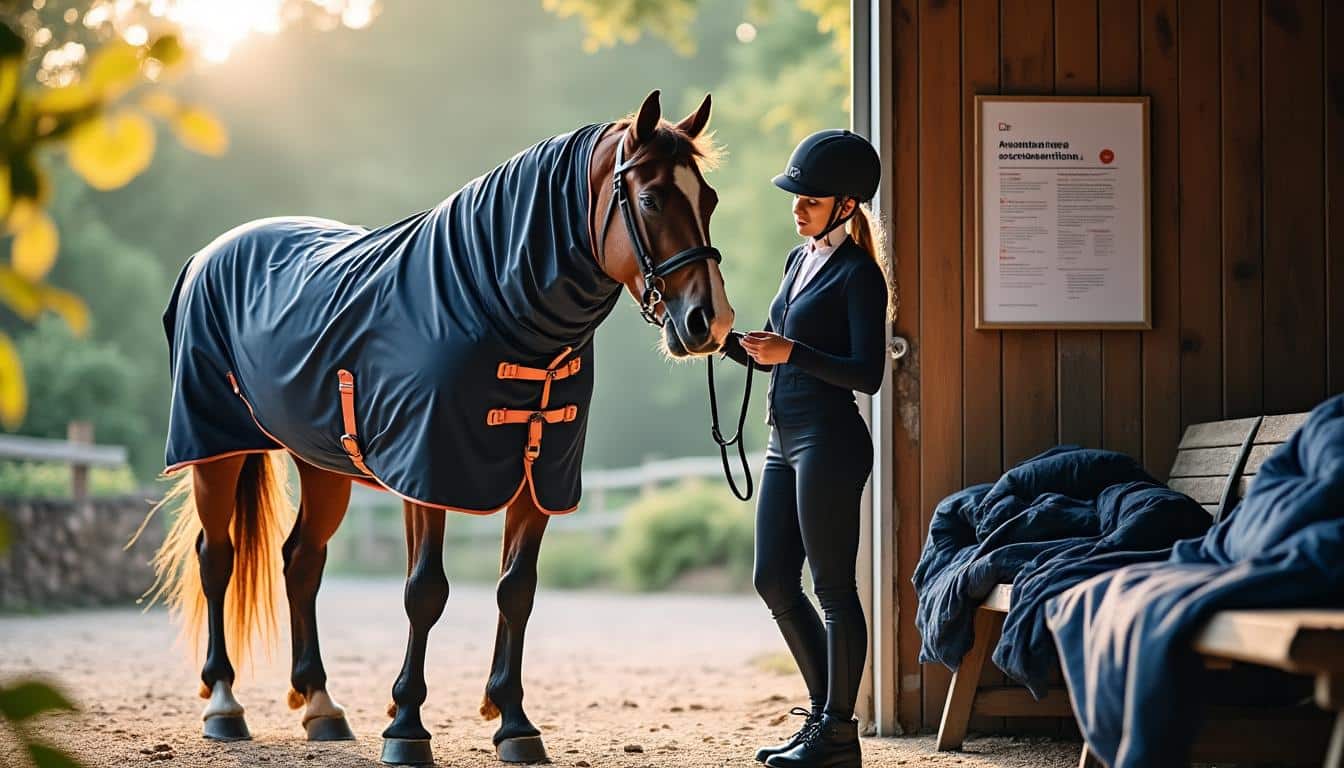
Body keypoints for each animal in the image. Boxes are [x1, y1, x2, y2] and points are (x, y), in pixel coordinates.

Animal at [139, 90, 734, 765]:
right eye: (652, 198)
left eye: (708, 199)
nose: (709, 322)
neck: (490, 305)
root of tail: (210, 253)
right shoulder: (429, 476)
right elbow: (425, 592)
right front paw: (406, 726)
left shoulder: (537, 481)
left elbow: (516, 592)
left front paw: (514, 722)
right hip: (215, 451)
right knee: (218, 558)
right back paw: (223, 703)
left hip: (322, 466)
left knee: (301, 563)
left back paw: (320, 705)